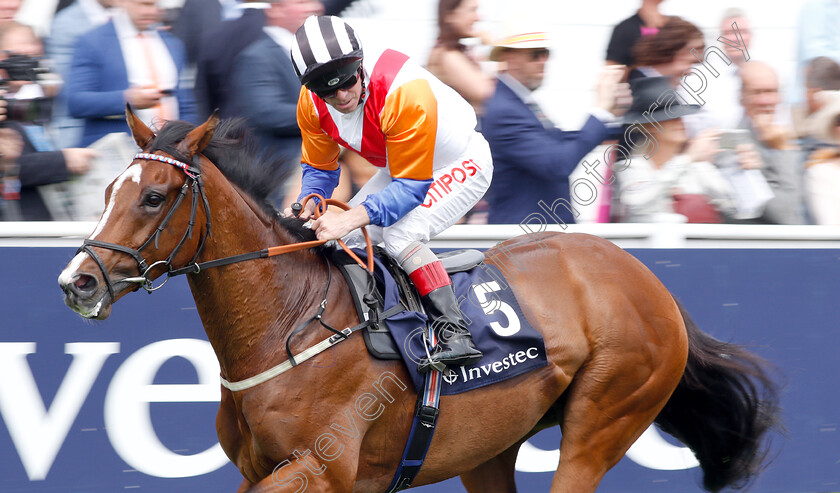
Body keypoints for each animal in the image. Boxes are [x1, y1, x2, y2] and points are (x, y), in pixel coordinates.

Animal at [59, 108, 780, 492]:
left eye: (154, 197)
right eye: (109, 192)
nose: (77, 281)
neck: (290, 326)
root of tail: (648, 281)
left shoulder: (320, 468)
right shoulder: (258, 467)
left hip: (605, 414)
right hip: (491, 448)